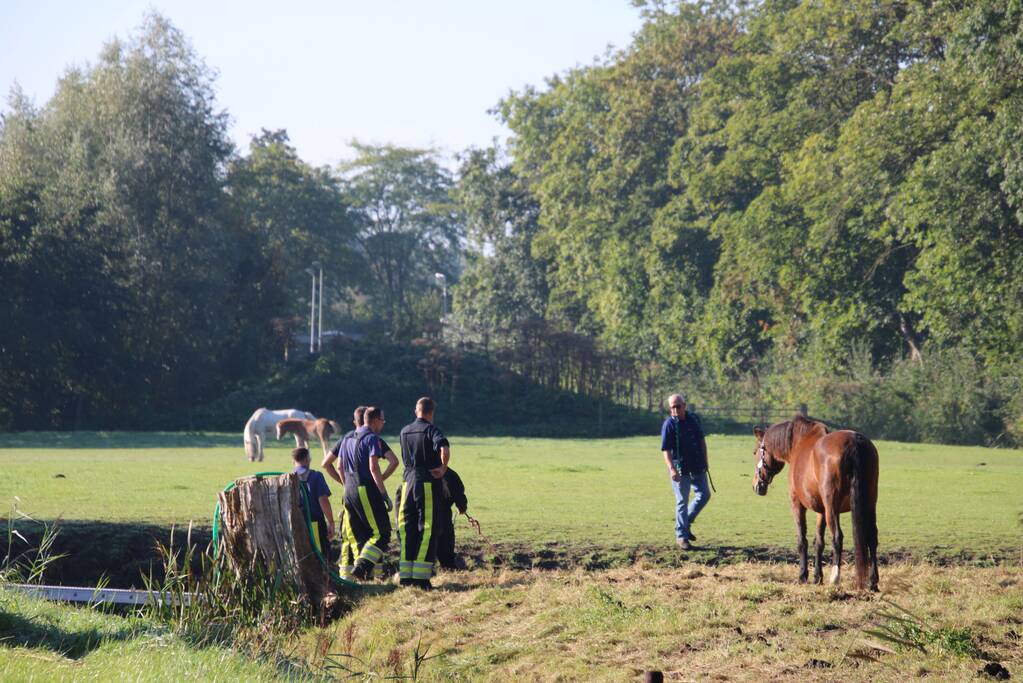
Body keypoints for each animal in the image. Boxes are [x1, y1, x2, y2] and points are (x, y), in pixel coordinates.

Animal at [752, 414, 880, 591]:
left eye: (755, 452)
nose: (756, 485)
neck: (798, 443)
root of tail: (854, 443)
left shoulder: (797, 504)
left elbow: (802, 540)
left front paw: (803, 575)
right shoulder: (822, 511)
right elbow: (819, 541)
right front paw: (817, 577)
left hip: (832, 506)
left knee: (837, 537)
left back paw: (835, 578)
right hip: (869, 503)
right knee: (872, 537)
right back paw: (873, 581)